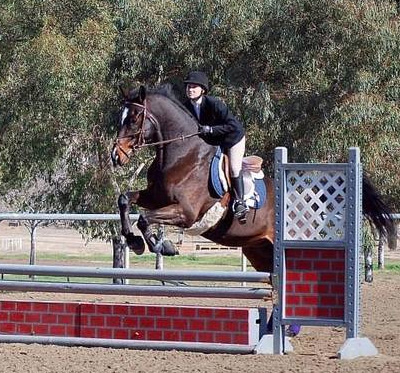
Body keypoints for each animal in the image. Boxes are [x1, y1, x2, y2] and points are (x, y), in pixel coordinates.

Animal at [111, 85, 396, 274]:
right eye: (121, 117)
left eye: (134, 118)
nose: (116, 155)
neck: (181, 153)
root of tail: (316, 203)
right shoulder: (155, 196)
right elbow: (125, 199)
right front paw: (134, 241)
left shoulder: (186, 212)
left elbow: (145, 218)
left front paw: (163, 246)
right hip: (260, 250)